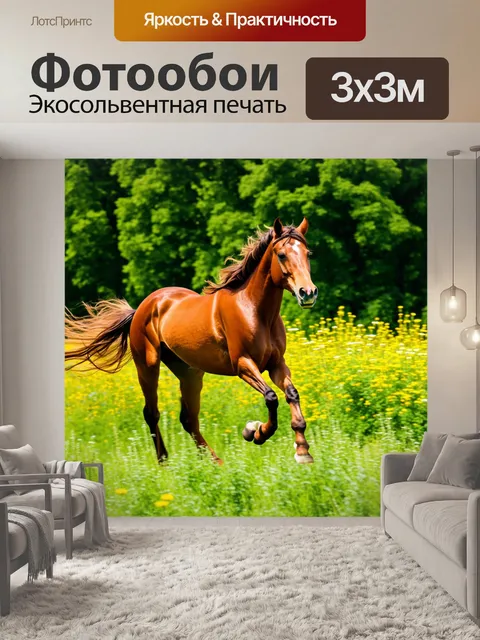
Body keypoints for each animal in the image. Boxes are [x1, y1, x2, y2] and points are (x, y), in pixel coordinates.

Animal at [65, 217, 318, 465]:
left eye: (308, 253)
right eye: (281, 254)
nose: (307, 293)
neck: (255, 311)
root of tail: (142, 307)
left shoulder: (276, 364)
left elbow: (292, 394)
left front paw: (302, 450)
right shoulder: (243, 364)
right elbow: (271, 397)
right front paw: (254, 432)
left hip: (190, 373)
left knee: (188, 419)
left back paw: (215, 463)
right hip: (147, 366)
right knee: (152, 413)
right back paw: (164, 462)